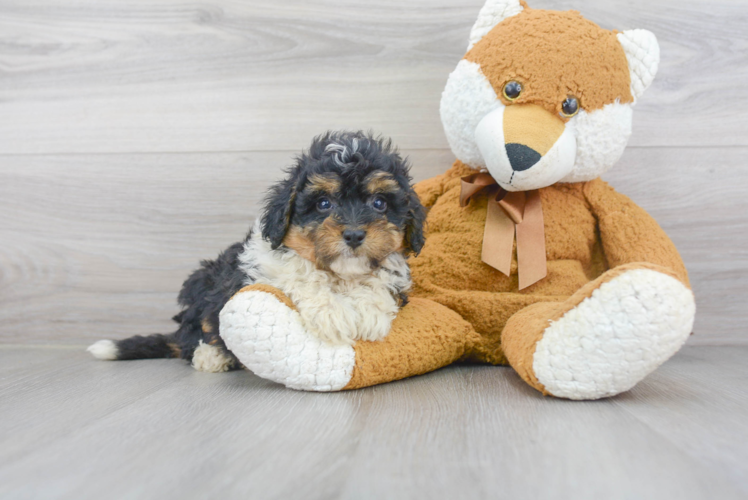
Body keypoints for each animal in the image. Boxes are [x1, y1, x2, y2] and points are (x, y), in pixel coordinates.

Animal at [87, 131, 426, 374]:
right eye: (323, 203)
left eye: (379, 203)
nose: (354, 234)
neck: (341, 274)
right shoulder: (262, 264)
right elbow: (302, 273)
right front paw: (333, 314)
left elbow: (381, 278)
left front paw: (369, 312)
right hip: (203, 285)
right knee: (194, 334)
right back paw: (211, 356)